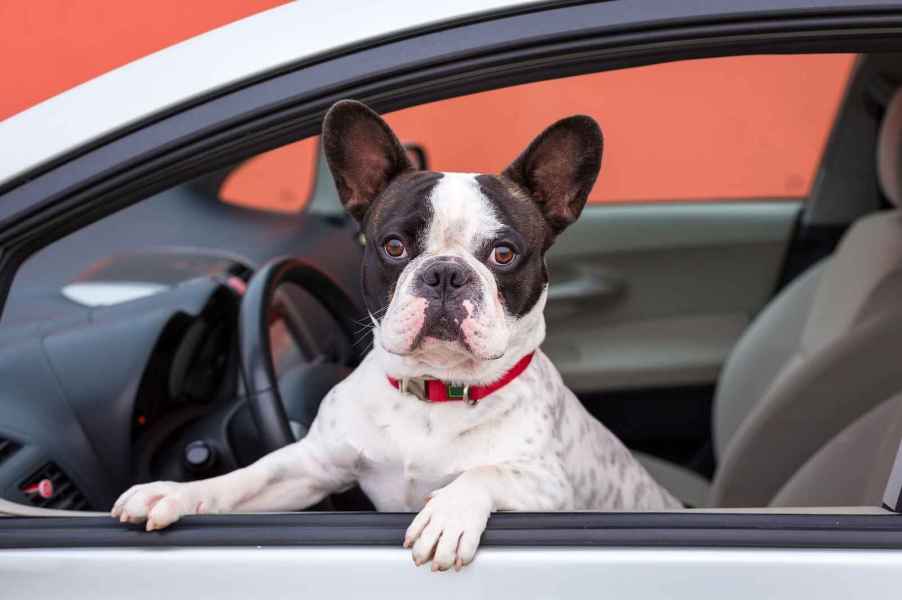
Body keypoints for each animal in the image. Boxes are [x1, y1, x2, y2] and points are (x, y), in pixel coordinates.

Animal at [111, 99, 680, 572]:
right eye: (393, 247)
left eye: (503, 254)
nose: (446, 273)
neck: (435, 390)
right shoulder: (310, 467)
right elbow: (248, 477)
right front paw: (174, 492)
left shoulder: (548, 487)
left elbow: (487, 473)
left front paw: (446, 515)